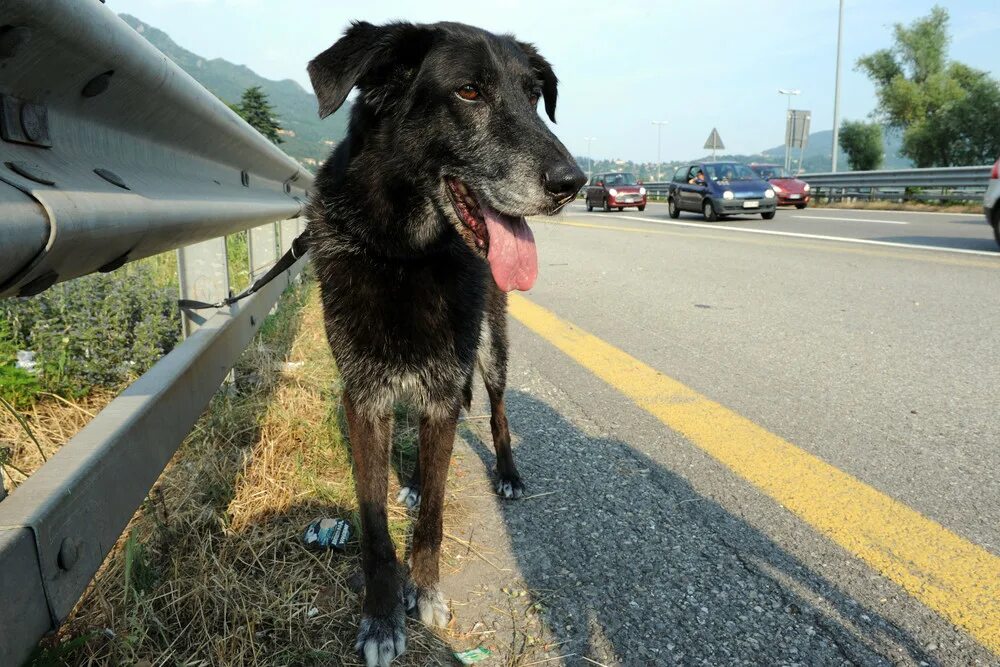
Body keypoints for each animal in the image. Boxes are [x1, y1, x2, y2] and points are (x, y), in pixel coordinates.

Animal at [306, 20, 584, 667]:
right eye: (468, 92)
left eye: (534, 96)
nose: (573, 183)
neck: (406, 257)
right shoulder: (366, 397)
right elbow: (374, 526)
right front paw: (381, 617)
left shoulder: (441, 388)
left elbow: (433, 513)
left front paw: (425, 592)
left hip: (491, 348)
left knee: (498, 411)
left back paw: (506, 472)